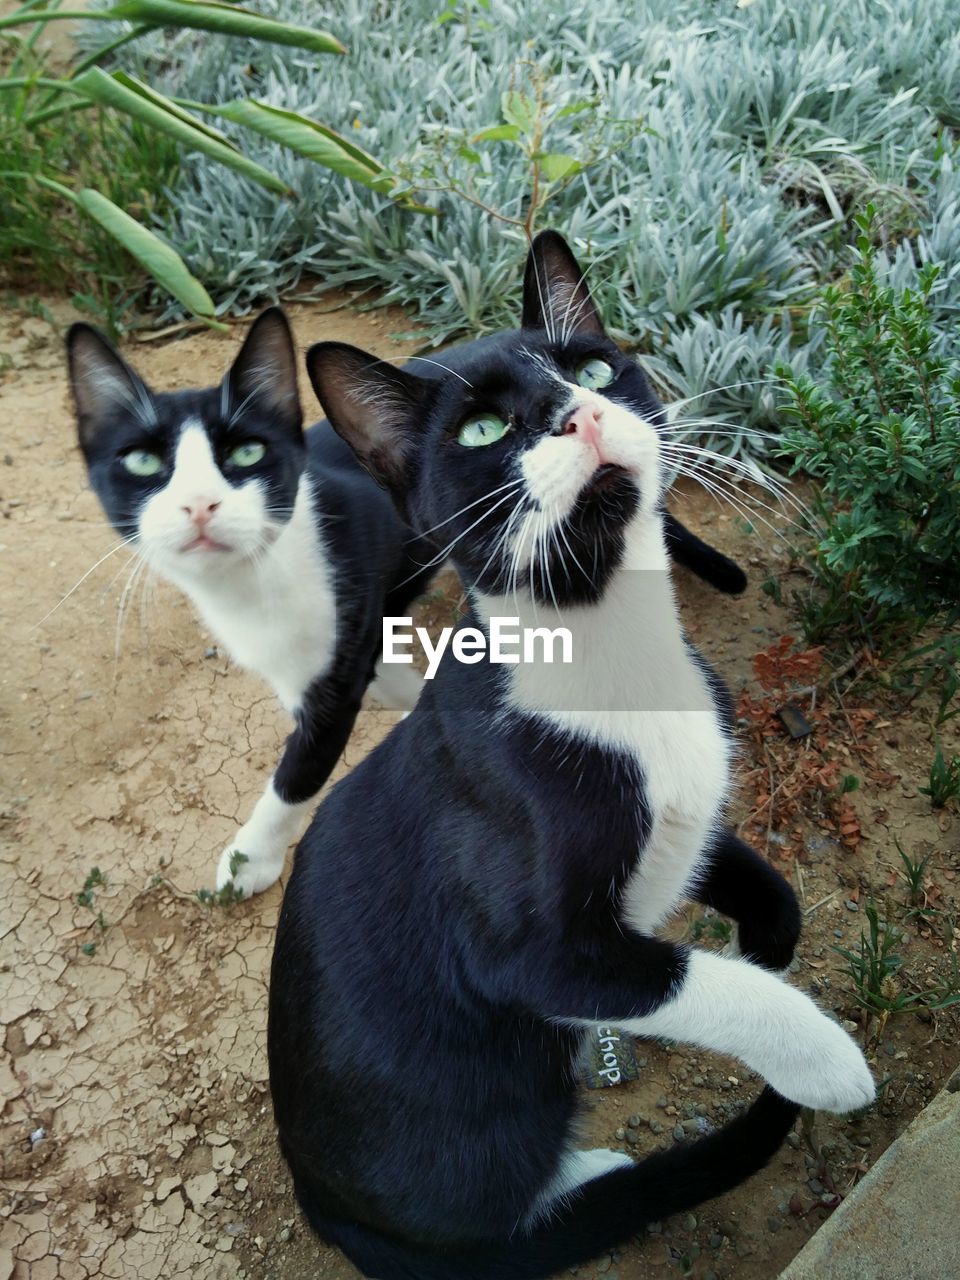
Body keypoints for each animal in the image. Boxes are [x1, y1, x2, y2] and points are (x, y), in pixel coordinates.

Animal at [268, 235, 880, 1274]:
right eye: (482, 431)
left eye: (594, 369)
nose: (577, 412)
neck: (612, 648)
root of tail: (315, 1198)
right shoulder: (534, 950)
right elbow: (678, 977)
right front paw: (823, 1058)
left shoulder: (685, 809)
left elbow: (751, 884)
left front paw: (764, 940)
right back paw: (593, 1176)